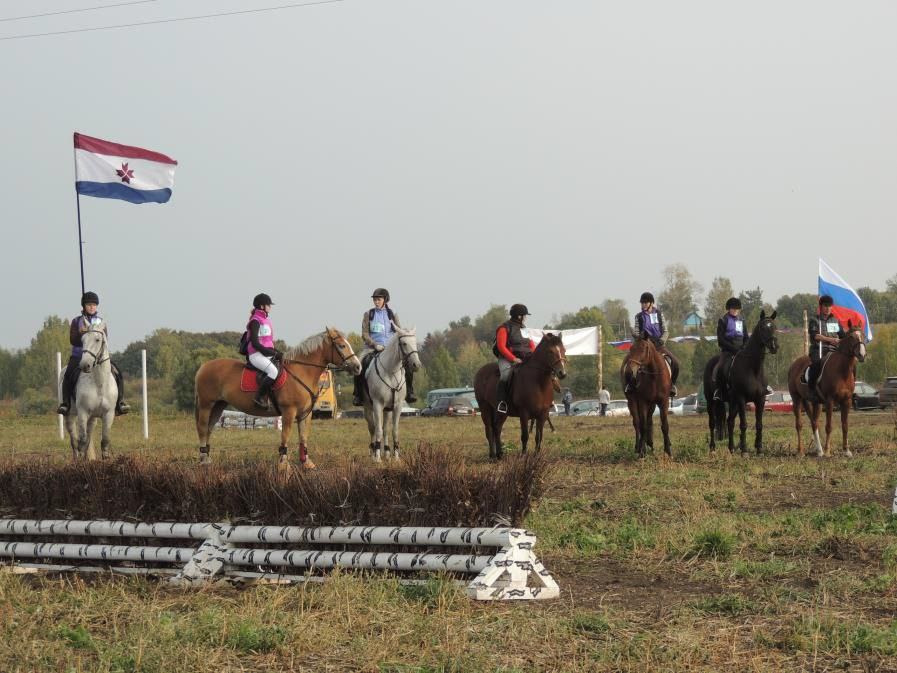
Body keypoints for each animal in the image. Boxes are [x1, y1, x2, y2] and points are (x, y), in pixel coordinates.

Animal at [60, 326, 119, 462]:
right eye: (82, 340)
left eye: (97, 340)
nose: (84, 365)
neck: (99, 383)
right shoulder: (83, 413)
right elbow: (81, 440)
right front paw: (81, 462)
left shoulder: (109, 414)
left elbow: (105, 440)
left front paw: (106, 460)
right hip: (70, 415)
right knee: (74, 440)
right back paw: (76, 459)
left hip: (92, 419)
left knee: (88, 437)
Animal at [193, 326, 360, 464]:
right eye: (342, 345)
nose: (358, 366)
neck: (302, 371)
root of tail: (203, 366)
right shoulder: (289, 412)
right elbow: (285, 437)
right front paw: (283, 465)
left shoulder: (305, 414)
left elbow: (303, 438)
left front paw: (306, 463)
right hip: (206, 404)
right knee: (202, 428)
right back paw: (203, 459)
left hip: (218, 405)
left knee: (209, 428)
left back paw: (207, 458)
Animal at [362, 326, 422, 462]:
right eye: (404, 343)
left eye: (415, 342)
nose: (416, 365)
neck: (391, 372)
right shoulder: (377, 404)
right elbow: (378, 430)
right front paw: (377, 457)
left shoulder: (397, 406)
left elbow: (394, 430)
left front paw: (396, 456)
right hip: (368, 407)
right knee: (373, 428)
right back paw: (373, 452)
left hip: (387, 409)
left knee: (385, 429)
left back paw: (387, 452)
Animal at [472, 332, 564, 460]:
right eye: (550, 351)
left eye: (563, 350)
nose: (562, 373)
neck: (539, 383)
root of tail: (480, 371)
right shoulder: (524, 413)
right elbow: (525, 435)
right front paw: (524, 455)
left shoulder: (543, 414)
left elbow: (539, 436)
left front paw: (537, 456)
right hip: (484, 407)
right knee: (489, 429)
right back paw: (493, 456)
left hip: (500, 412)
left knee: (497, 428)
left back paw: (500, 454)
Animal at [788, 322, 864, 456]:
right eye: (851, 337)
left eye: (863, 335)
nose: (862, 355)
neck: (842, 371)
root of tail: (794, 365)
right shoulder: (830, 401)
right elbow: (829, 426)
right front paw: (828, 451)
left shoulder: (847, 401)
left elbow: (845, 425)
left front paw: (846, 450)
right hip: (796, 398)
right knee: (799, 424)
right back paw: (801, 451)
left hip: (815, 403)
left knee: (814, 423)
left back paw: (819, 451)